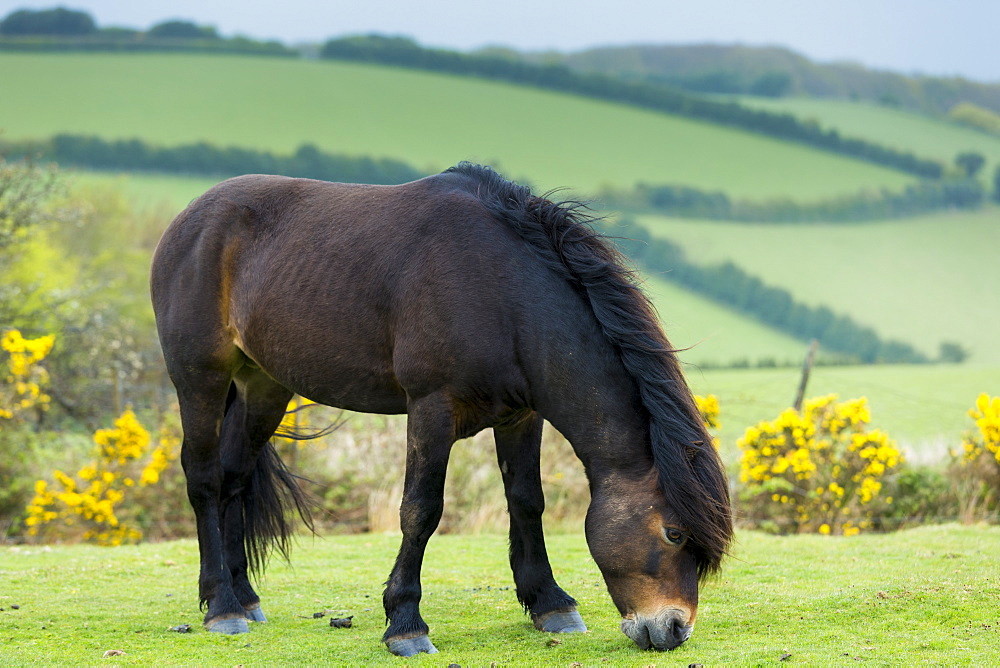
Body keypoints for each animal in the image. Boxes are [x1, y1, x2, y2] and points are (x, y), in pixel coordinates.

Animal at [148, 163, 732, 656]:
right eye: (674, 533)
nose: (673, 629)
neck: (502, 291)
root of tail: (189, 219)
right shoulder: (431, 409)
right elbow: (420, 510)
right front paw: (405, 624)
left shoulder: (522, 417)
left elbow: (527, 501)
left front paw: (550, 603)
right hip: (199, 378)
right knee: (204, 479)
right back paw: (221, 606)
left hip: (264, 387)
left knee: (234, 478)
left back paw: (245, 597)